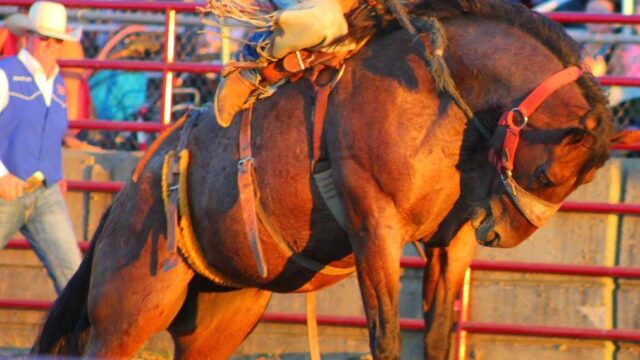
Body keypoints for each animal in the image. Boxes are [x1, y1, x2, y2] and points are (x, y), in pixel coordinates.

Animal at [31, 1, 640, 358]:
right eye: (547, 172)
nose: (502, 233)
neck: (436, 91)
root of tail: (125, 198)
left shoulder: (452, 241)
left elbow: (438, 335)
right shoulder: (374, 228)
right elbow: (386, 335)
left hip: (221, 314)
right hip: (127, 311)